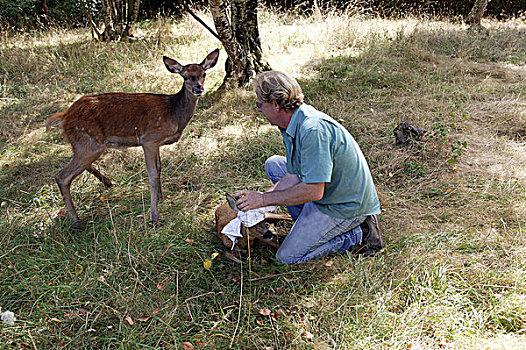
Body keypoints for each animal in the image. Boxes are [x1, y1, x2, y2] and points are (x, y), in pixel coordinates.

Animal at [48, 49, 222, 230]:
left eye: (204, 73)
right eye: (185, 76)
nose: (198, 88)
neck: (173, 113)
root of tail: (64, 117)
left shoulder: (156, 143)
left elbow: (159, 168)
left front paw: (160, 197)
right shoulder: (149, 138)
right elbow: (152, 175)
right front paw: (154, 217)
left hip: (85, 144)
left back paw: (107, 182)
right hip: (89, 142)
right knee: (62, 176)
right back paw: (76, 221)